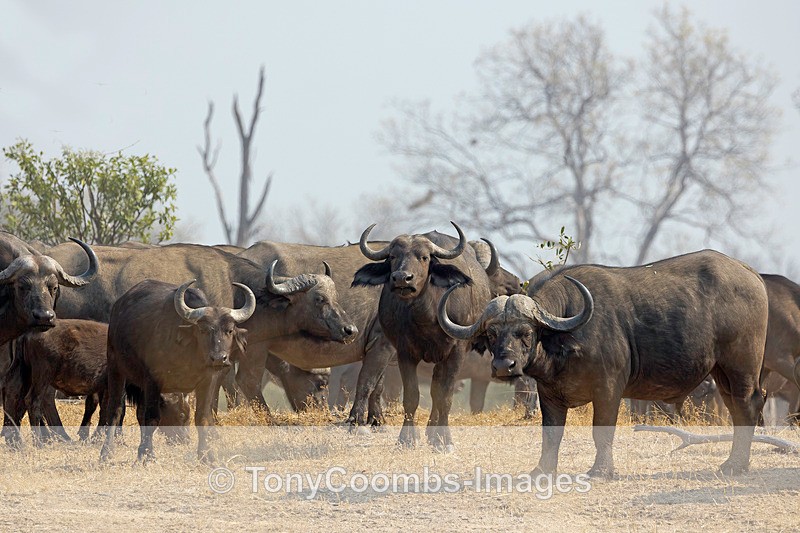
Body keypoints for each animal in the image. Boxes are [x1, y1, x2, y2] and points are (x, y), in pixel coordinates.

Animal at [438, 250, 768, 476]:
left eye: (526, 332)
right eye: (492, 334)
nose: (503, 365)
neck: (566, 336)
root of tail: (752, 275)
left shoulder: (609, 388)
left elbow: (602, 430)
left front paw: (601, 470)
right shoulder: (549, 393)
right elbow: (550, 434)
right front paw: (542, 471)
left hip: (741, 366)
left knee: (749, 403)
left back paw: (735, 465)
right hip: (721, 372)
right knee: (736, 407)